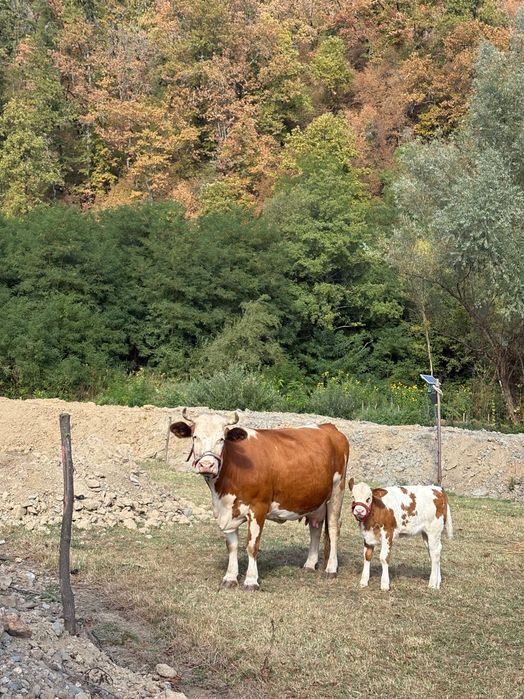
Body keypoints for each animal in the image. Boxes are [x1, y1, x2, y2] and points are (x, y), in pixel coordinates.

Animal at [170, 409, 349, 591]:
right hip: (315, 498)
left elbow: (252, 546)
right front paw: (230, 577)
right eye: (195, 437)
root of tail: (329, 427)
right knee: (315, 527)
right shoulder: (227, 511)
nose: (207, 465)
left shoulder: (258, 507)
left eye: (221, 439)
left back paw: (331, 568)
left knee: (333, 528)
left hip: (337, 491)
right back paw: (310, 564)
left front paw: (251, 580)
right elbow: (232, 546)